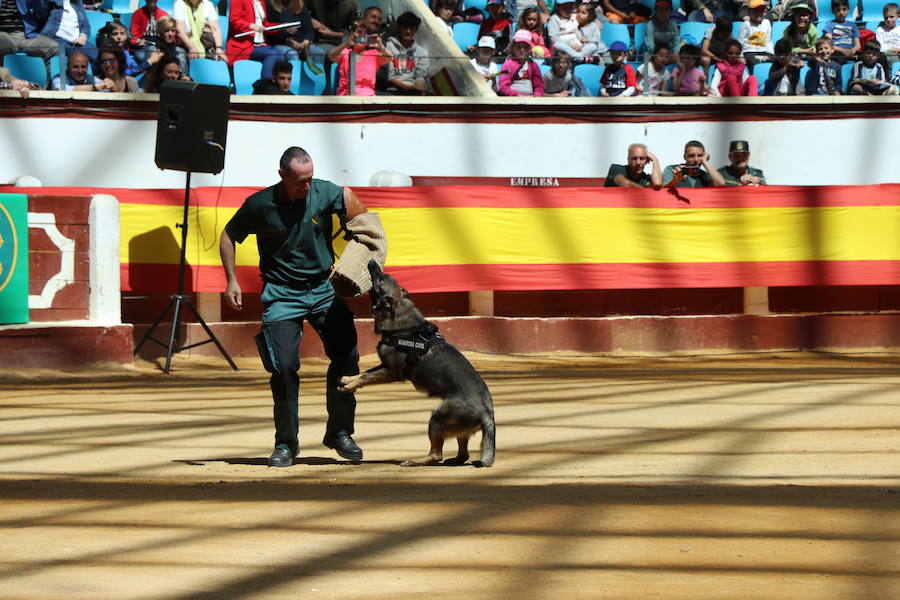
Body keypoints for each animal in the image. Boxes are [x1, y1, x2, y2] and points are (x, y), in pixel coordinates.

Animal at [338, 260, 496, 466]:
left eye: (381, 279)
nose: (372, 262)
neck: (400, 318)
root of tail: (487, 413)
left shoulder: (392, 372)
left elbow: (367, 376)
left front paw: (349, 386)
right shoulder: (385, 365)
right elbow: (366, 372)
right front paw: (348, 379)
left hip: (437, 418)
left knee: (436, 455)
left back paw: (415, 461)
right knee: (463, 455)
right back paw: (453, 460)